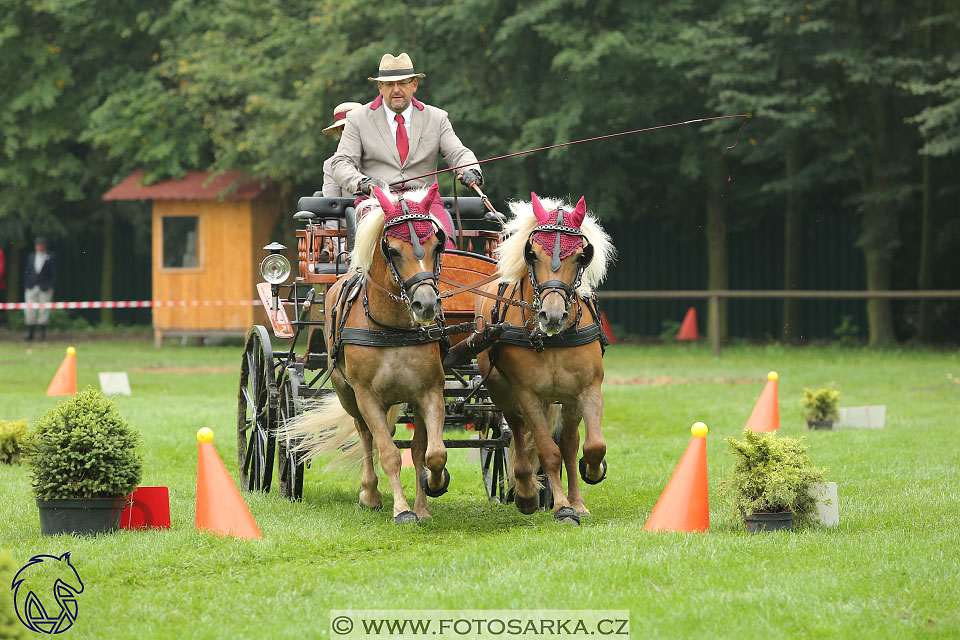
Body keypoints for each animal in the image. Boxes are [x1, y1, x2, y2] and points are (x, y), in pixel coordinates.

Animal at [284, 182, 452, 524]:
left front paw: (432, 488)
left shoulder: (429, 392)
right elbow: (388, 454)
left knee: (416, 447)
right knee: (365, 435)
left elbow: (432, 453)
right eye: (393, 250)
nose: (426, 305)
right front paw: (401, 510)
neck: (393, 329)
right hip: (347, 394)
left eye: (436, 246)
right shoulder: (367, 396)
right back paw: (370, 493)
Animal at [474, 194, 616, 524]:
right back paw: (526, 491)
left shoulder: (587, 389)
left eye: (579, 256)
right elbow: (547, 451)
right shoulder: (528, 395)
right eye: (533, 254)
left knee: (569, 442)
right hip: (501, 390)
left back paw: (575, 498)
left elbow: (591, 445)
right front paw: (562, 507)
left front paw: (589, 476)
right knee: (512, 430)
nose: (552, 316)